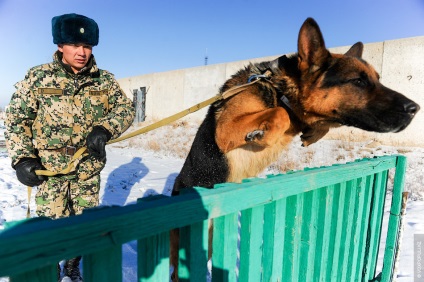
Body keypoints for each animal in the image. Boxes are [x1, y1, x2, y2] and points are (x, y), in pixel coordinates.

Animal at [170, 17, 420, 280]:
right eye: (358, 81)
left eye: (377, 79)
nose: (415, 109)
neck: (280, 90)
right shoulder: (225, 130)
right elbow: (280, 113)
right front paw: (262, 135)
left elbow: (304, 121)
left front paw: (312, 133)